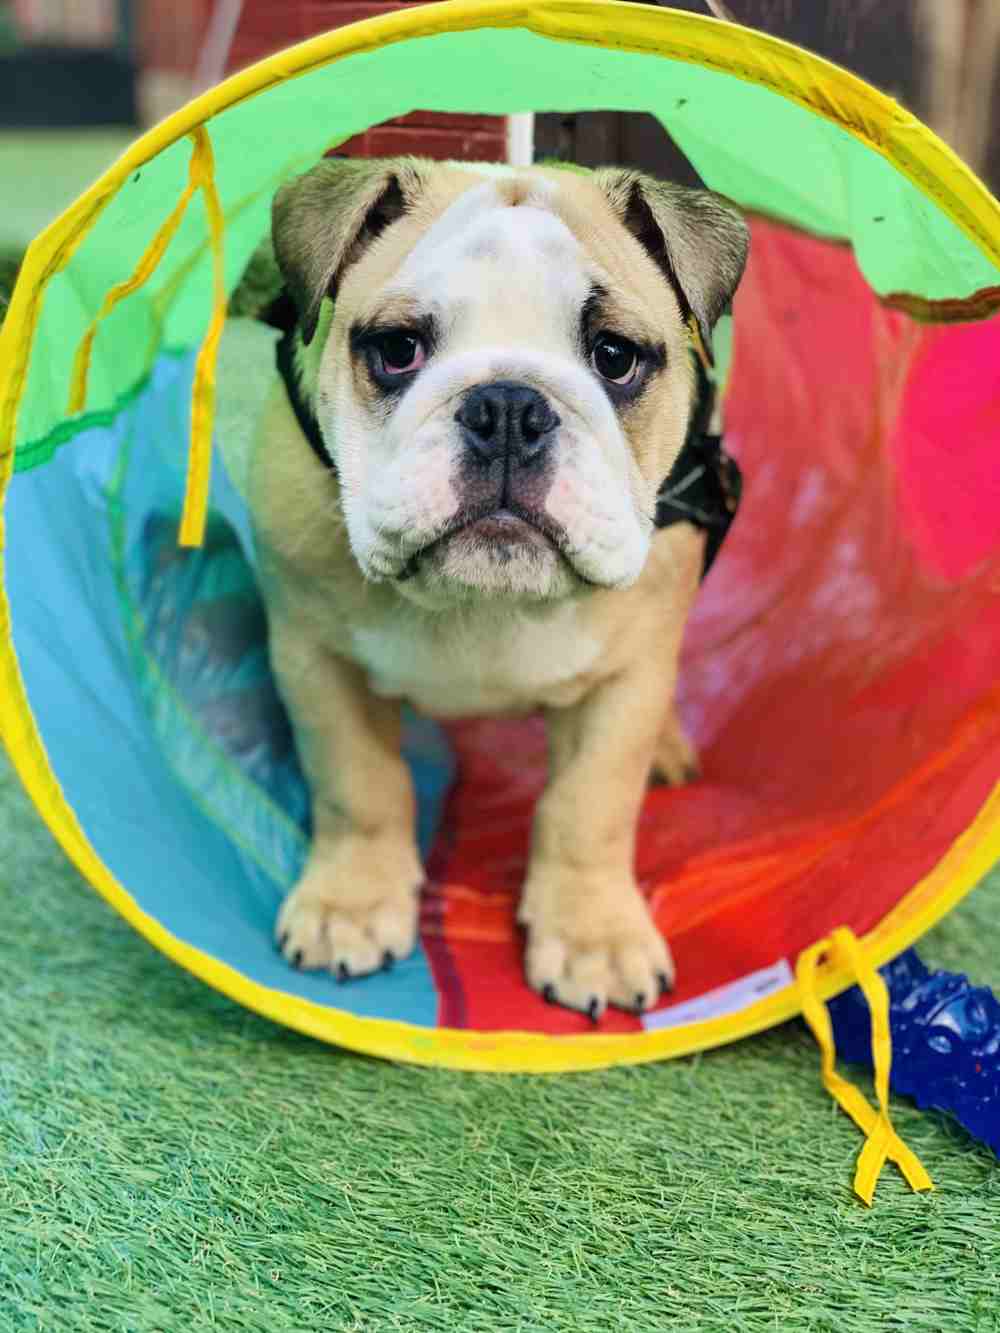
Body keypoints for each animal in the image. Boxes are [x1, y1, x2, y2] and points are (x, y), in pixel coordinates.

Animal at [250, 155, 746, 1013]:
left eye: (614, 356)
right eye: (398, 349)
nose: (509, 405)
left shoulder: (625, 682)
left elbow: (589, 805)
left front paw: (591, 936)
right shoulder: (315, 658)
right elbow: (358, 783)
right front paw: (352, 904)